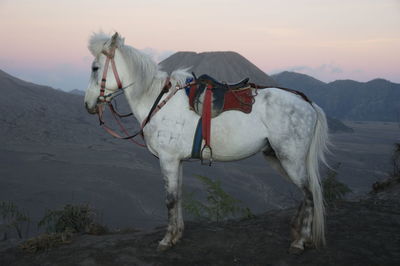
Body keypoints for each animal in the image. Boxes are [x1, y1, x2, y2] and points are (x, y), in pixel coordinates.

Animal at [83, 31, 328, 254]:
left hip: (290, 158)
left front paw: (166, 240)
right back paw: (296, 231)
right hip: (277, 157)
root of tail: (307, 103)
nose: (88, 104)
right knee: (305, 192)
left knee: (308, 193)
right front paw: (177, 235)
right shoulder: (177, 161)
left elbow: (170, 199)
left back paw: (300, 241)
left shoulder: (168, 160)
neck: (157, 100)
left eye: (95, 68)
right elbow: (178, 196)